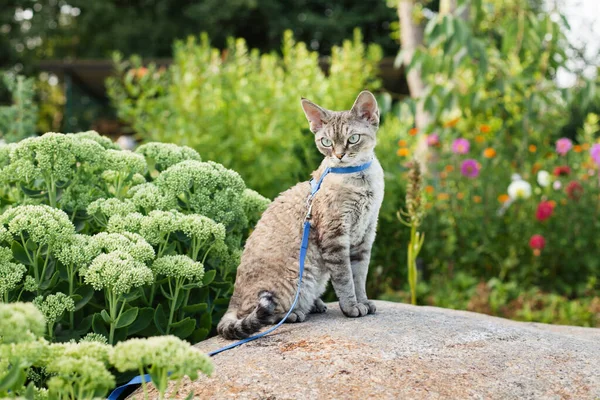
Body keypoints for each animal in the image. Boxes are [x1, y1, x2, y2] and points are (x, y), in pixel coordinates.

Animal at [217, 91, 384, 340]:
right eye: (326, 142)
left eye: (353, 138)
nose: (339, 155)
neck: (361, 180)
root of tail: (233, 300)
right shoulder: (336, 237)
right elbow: (345, 279)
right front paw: (352, 307)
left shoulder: (365, 235)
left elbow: (359, 277)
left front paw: (363, 302)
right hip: (296, 280)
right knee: (263, 315)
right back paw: (296, 313)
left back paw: (316, 304)